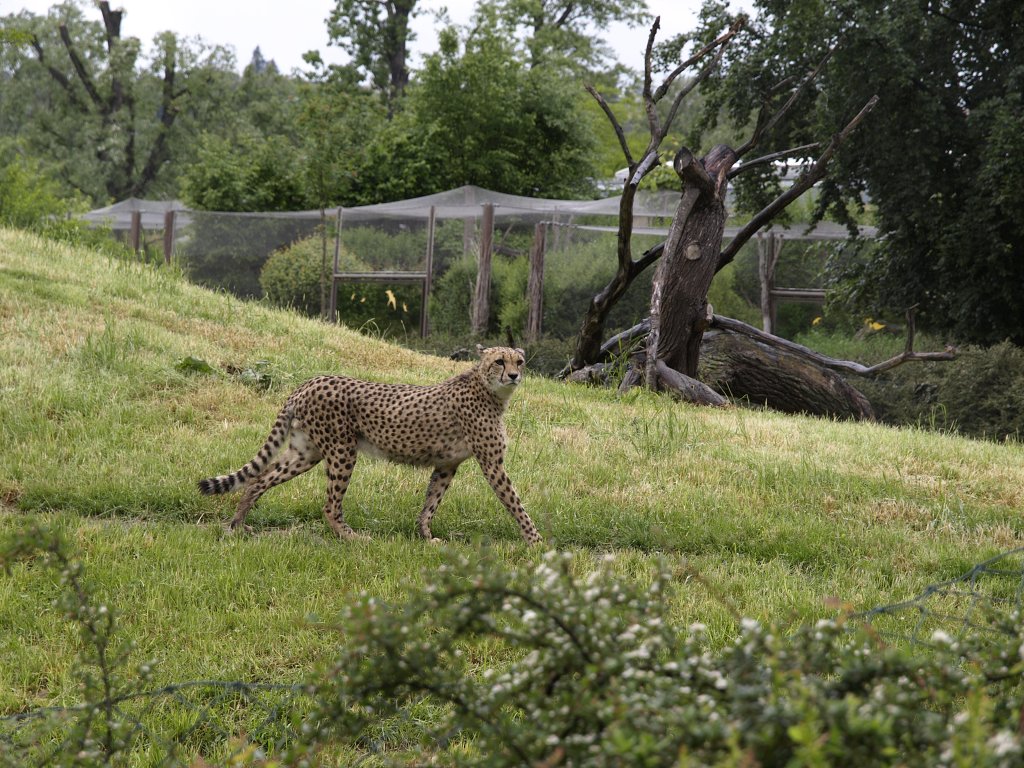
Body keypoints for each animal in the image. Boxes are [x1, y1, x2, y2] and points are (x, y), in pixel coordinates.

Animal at [194, 346, 540, 544]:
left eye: (520, 361)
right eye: (499, 361)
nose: (513, 375)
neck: (487, 389)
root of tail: (309, 382)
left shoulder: (446, 465)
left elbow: (430, 504)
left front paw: (426, 537)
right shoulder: (492, 465)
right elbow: (516, 504)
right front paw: (536, 542)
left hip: (306, 452)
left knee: (258, 479)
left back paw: (238, 526)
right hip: (341, 450)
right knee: (330, 505)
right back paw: (353, 538)